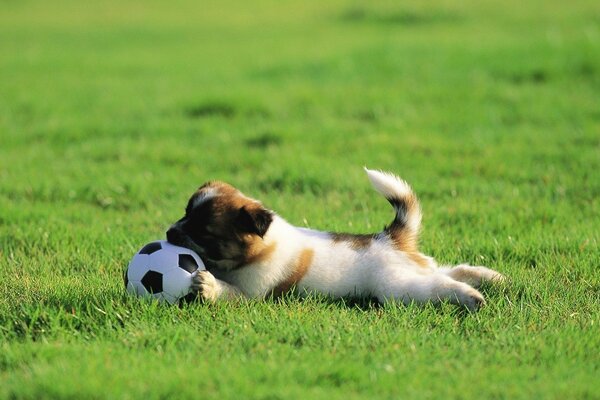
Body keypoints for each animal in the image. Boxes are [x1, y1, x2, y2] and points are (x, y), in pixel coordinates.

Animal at [166, 168, 504, 310]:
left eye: (204, 232)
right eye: (185, 213)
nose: (169, 233)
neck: (259, 248)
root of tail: (390, 238)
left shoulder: (252, 293)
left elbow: (227, 291)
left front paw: (207, 285)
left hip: (397, 285)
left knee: (439, 285)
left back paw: (471, 297)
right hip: (414, 268)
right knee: (450, 270)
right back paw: (492, 278)